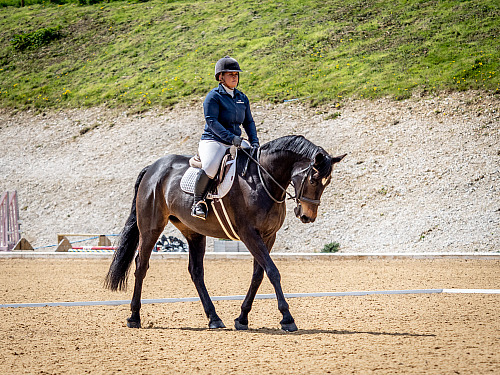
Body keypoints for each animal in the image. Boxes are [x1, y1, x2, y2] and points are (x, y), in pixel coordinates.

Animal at [104, 134, 348, 332]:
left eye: (327, 183)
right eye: (313, 179)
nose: (307, 216)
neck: (262, 180)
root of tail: (153, 167)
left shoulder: (268, 236)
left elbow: (258, 274)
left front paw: (242, 318)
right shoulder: (249, 234)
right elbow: (273, 271)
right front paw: (287, 318)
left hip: (193, 232)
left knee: (196, 272)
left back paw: (214, 318)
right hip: (151, 228)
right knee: (141, 265)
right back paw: (134, 316)